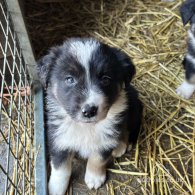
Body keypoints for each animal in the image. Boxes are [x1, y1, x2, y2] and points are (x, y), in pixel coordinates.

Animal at [36, 37, 142, 194]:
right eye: (69, 79)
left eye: (105, 79)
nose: (89, 111)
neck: (86, 127)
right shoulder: (59, 138)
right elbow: (60, 168)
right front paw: (55, 189)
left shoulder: (105, 139)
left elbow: (97, 159)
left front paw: (94, 178)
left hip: (133, 107)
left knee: (128, 129)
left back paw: (120, 146)